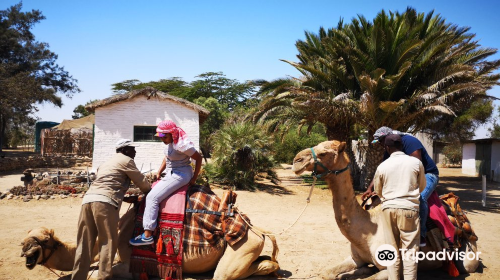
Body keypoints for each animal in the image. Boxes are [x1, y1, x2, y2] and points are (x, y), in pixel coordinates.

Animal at [21, 201, 280, 278]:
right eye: (25, 238)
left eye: (41, 240)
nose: (24, 251)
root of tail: (257, 229)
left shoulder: (132, 265)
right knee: (265, 263)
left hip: (242, 246)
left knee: (224, 274)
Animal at [292, 141, 480, 280]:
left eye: (324, 153)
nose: (296, 161)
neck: (367, 231)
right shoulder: (355, 258)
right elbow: (328, 273)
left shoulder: (393, 265)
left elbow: (374, 276)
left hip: (468, 259)